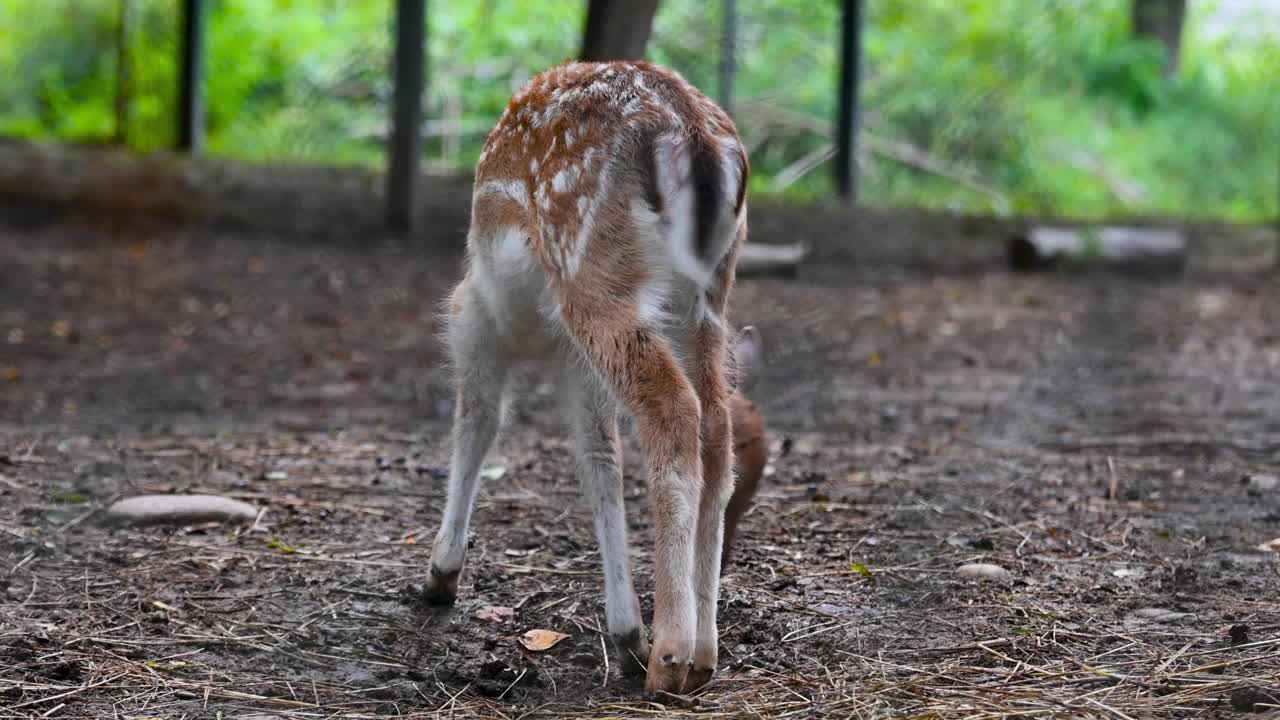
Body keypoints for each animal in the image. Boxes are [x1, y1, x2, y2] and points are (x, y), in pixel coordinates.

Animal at [424, 63, 747, 696]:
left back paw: (670, 655)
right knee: (718, 423)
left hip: (595, 276)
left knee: (674, 409)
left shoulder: (473, 321)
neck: (535, 341)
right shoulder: (579, 365)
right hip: (708, 295)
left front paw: (441, 575)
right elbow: (600, 457)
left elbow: (478, 422)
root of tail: (692, 133)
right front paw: (624, 634)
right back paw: (703, 654)